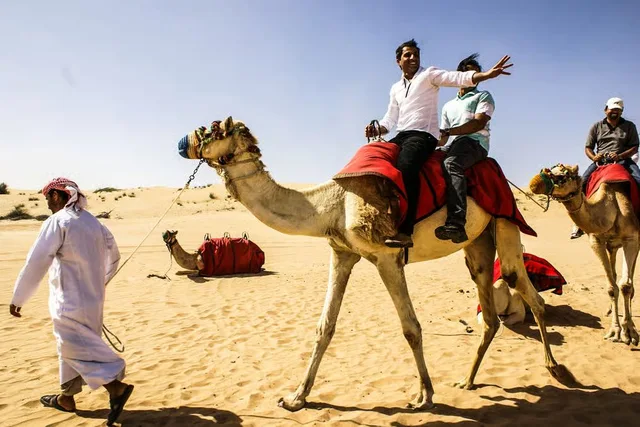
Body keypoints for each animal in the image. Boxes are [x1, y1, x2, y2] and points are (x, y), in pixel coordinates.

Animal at [176, 116, 566, 411]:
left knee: (525, 288)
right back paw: (467, 381)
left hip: (505, 221)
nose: (182, 142)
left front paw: (424, 396)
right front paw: (296, 397)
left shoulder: (386, 255)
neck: (330, 205)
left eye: (214, 128)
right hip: (477, 243)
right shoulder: (341, 252)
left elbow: (410, 328)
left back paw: (552, 366)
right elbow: (324, 327)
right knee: (488, 310)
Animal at [529, 164, 639, 346]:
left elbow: (625, 286)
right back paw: (610, 310)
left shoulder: (631, 238)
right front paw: (615, 331)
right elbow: (611, 287)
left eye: (564, 175)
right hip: (613, 246)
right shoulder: (596, 241)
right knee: (614, 274)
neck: (611, 206)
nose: (534, 183)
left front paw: (629, 332)